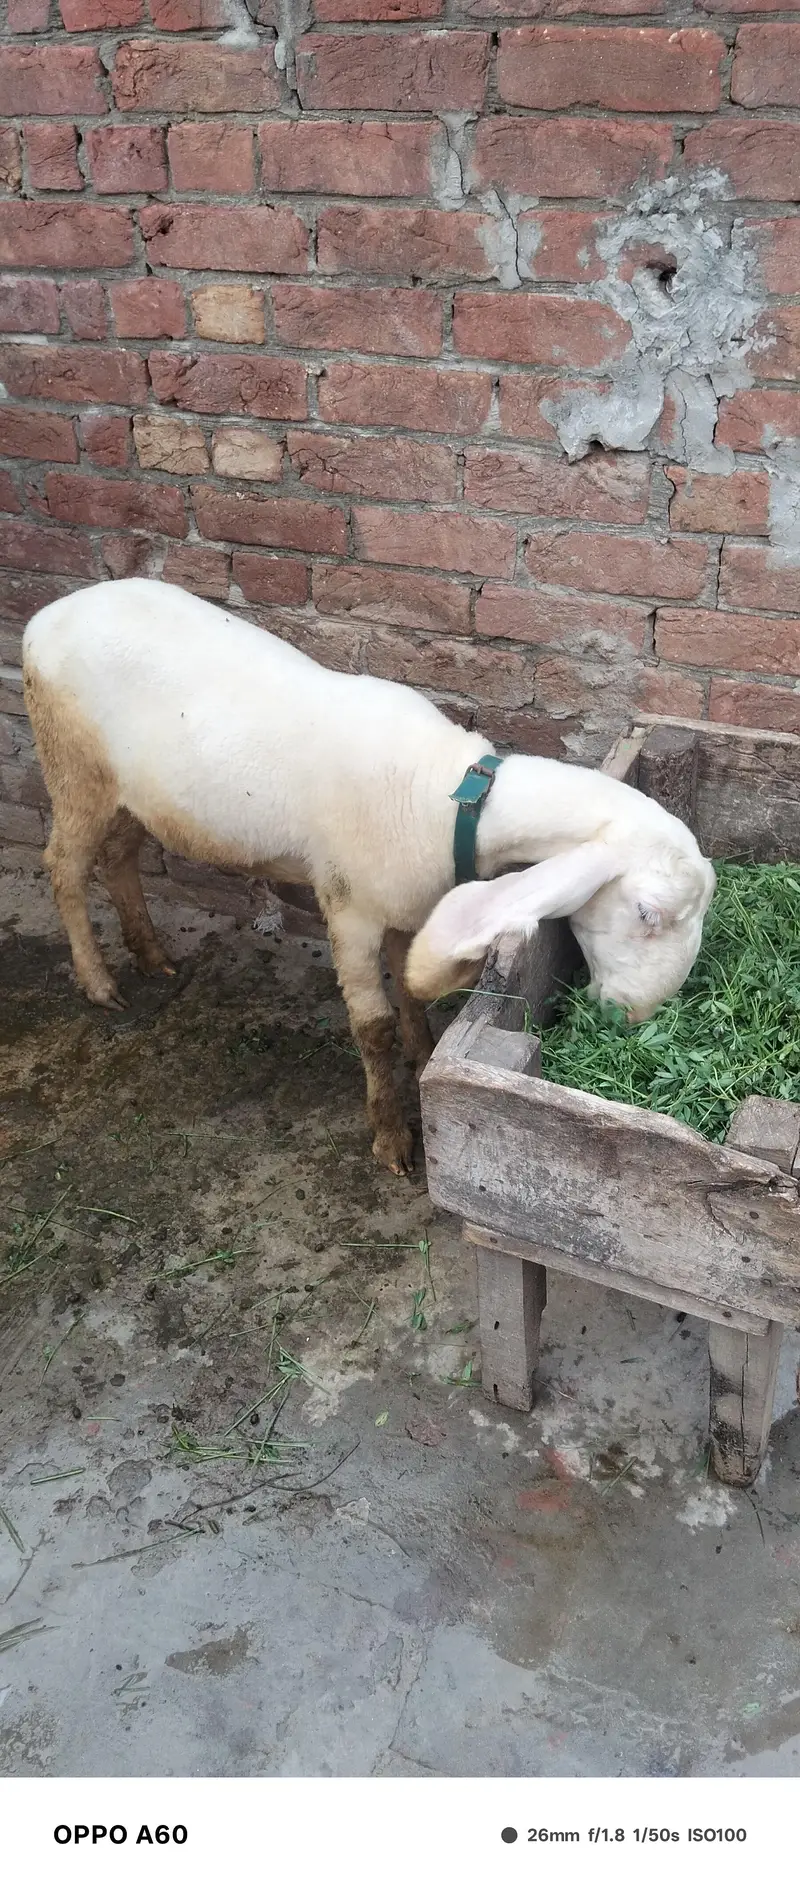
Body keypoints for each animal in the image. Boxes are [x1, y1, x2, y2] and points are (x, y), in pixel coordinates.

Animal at [23, 576, 715, 1175]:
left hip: (134, 793)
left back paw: (150, 953)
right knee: (64, 867)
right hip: (72, 765)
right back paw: (98, 981)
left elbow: (410, 989)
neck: (450, 798)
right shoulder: (349, 906)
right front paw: (392, 1137)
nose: (636, 1017)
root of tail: (45, 618)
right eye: (649, 914)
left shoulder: (407, 903)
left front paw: (423, 1053)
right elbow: (373, 1026)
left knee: (119, 857)